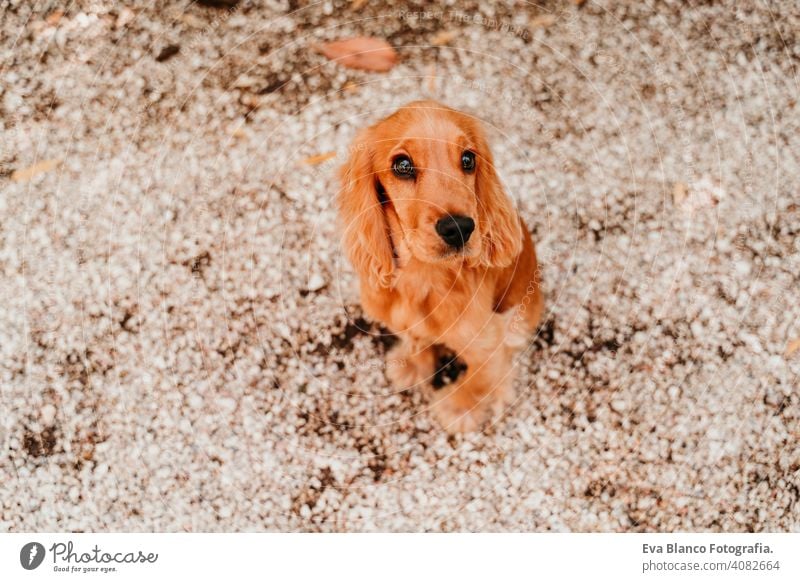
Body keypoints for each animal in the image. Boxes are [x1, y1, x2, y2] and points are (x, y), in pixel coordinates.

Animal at [338, 100, 544, 434]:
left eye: (468, 159)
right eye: (402, 165)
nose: (459, 228)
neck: (424, 277)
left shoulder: (487, 340)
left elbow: (479, 378)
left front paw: (459, 408)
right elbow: (416, 339)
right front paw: (411, 364)